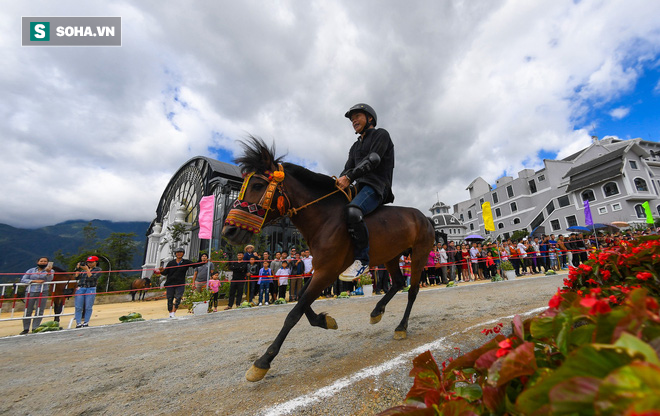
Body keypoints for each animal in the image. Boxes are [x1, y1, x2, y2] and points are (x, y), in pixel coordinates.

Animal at [224, 138, 436, 382]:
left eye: (258, 185)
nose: (229, 231)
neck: (325, 218)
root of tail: (424, 217)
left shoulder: (328, 271)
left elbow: (294, 313)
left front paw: (263, 362)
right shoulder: (320, 270)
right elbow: (301, 298)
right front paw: (324, 321)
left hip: (419, 254)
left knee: (412, 290)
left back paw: (401, 327)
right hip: (391, 256)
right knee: (399, 282)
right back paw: (376, 311)